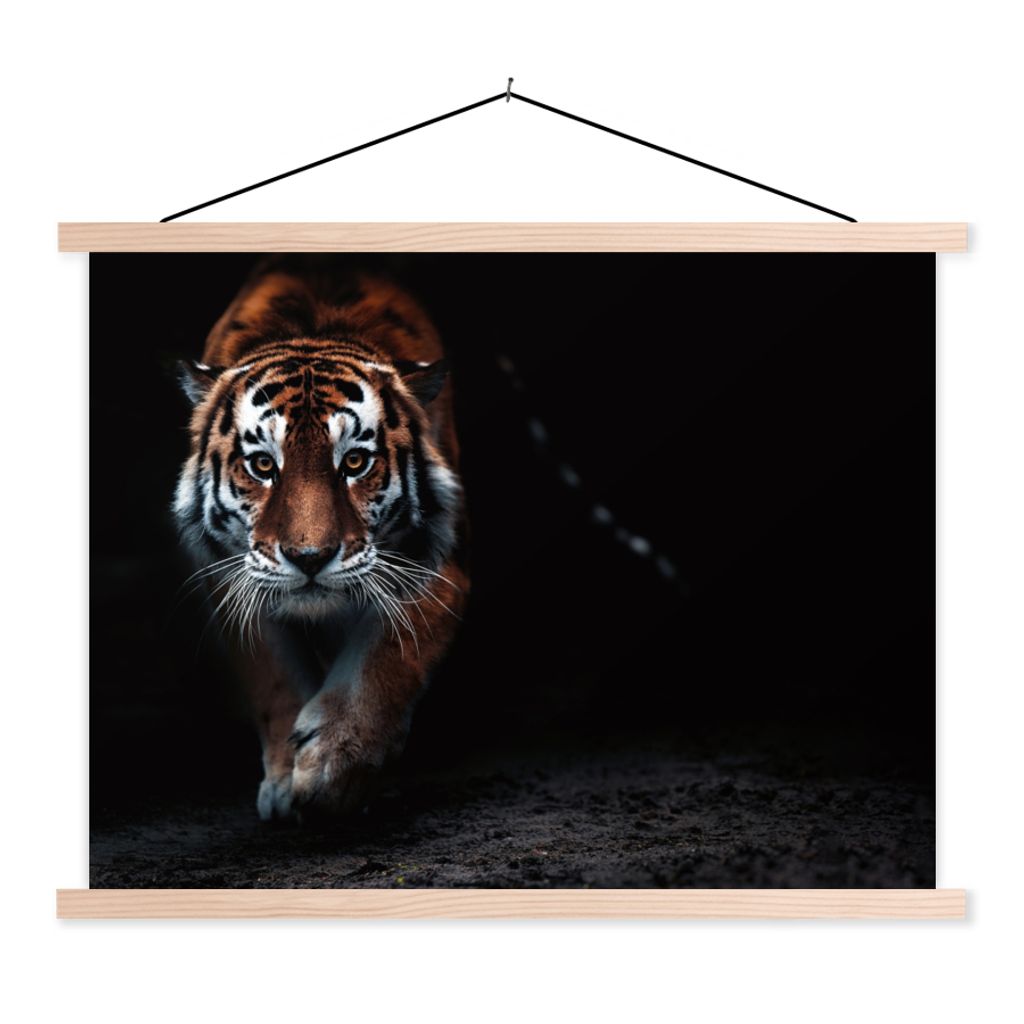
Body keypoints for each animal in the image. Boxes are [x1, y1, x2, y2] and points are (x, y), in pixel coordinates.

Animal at [174, 257, 468, 821]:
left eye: (354, 462)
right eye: (263, 465)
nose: (309, 558)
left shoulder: (438, 566)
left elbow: (388, 656)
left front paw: (334, 767)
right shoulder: (229, 577)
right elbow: (273, 675)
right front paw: (286, 783)